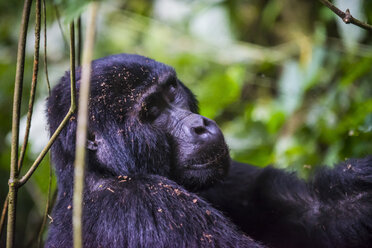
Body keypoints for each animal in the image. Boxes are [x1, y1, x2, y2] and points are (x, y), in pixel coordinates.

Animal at [45, 53, 372, 247]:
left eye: (172, 90)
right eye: (151, 111)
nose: (199, 126)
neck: (100, 171)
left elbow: (316, 210)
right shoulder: (144, 202)